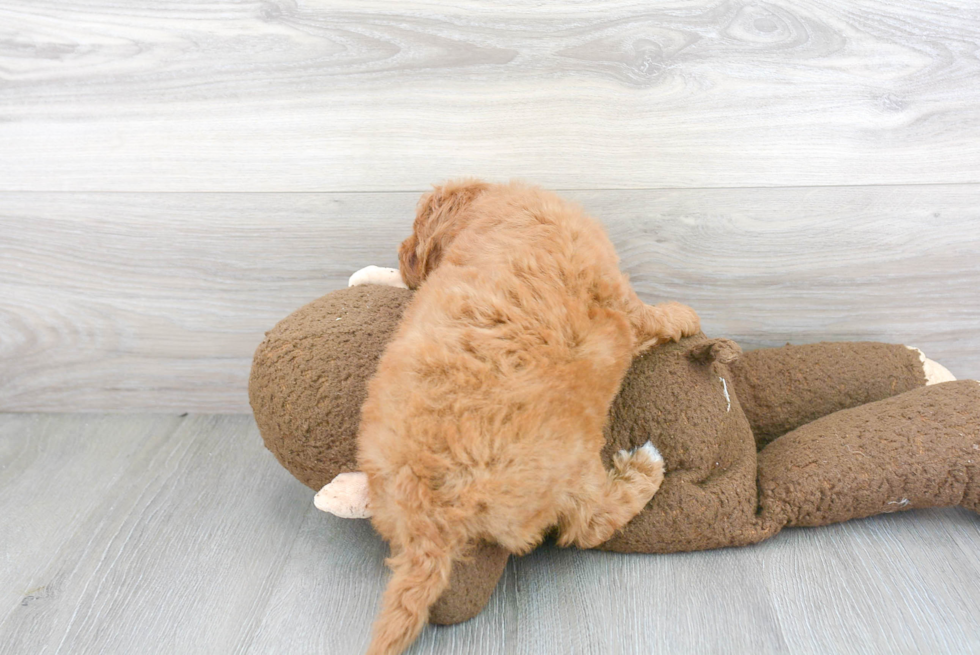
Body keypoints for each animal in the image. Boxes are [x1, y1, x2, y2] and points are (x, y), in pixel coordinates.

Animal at [356, 179, 700, 655]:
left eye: (414, 236)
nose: (401, 254)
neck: (487, 207)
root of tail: (431, 516)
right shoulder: (613, 289)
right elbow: (647, 316)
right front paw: (684, 316)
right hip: (573, 466)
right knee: (590, 523)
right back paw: (645, 468)